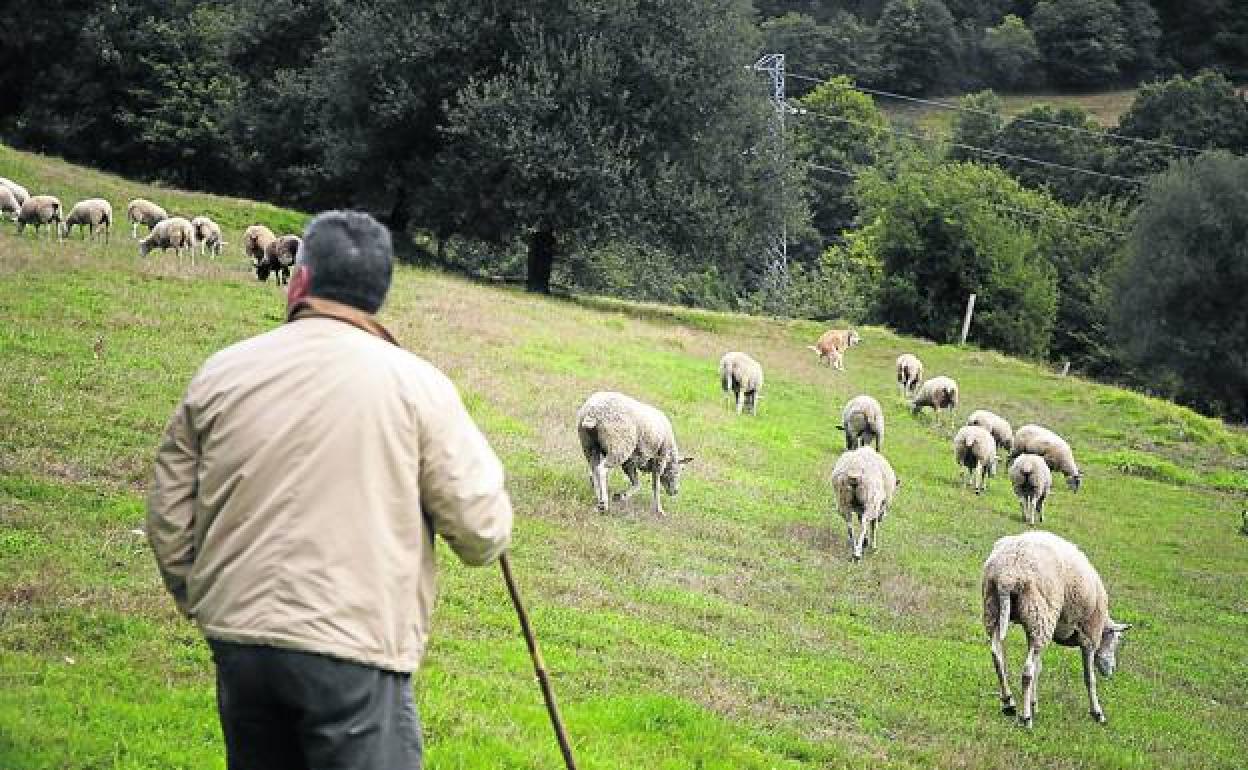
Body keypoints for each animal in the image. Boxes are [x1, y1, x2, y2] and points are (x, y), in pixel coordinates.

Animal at [982, 531, 1132, 727]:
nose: (1111, 670)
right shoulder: (1089, 636)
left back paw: (1009, 703)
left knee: (997, 655)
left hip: (999, 608)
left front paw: (1034, 703)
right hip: (1041, 613)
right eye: (1116, 640)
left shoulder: (1032, 630)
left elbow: (1039, 668)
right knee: (1027, 671)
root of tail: (1008, 575)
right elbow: (1089, 678)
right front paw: (1097, 713)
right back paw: (1026, 718)